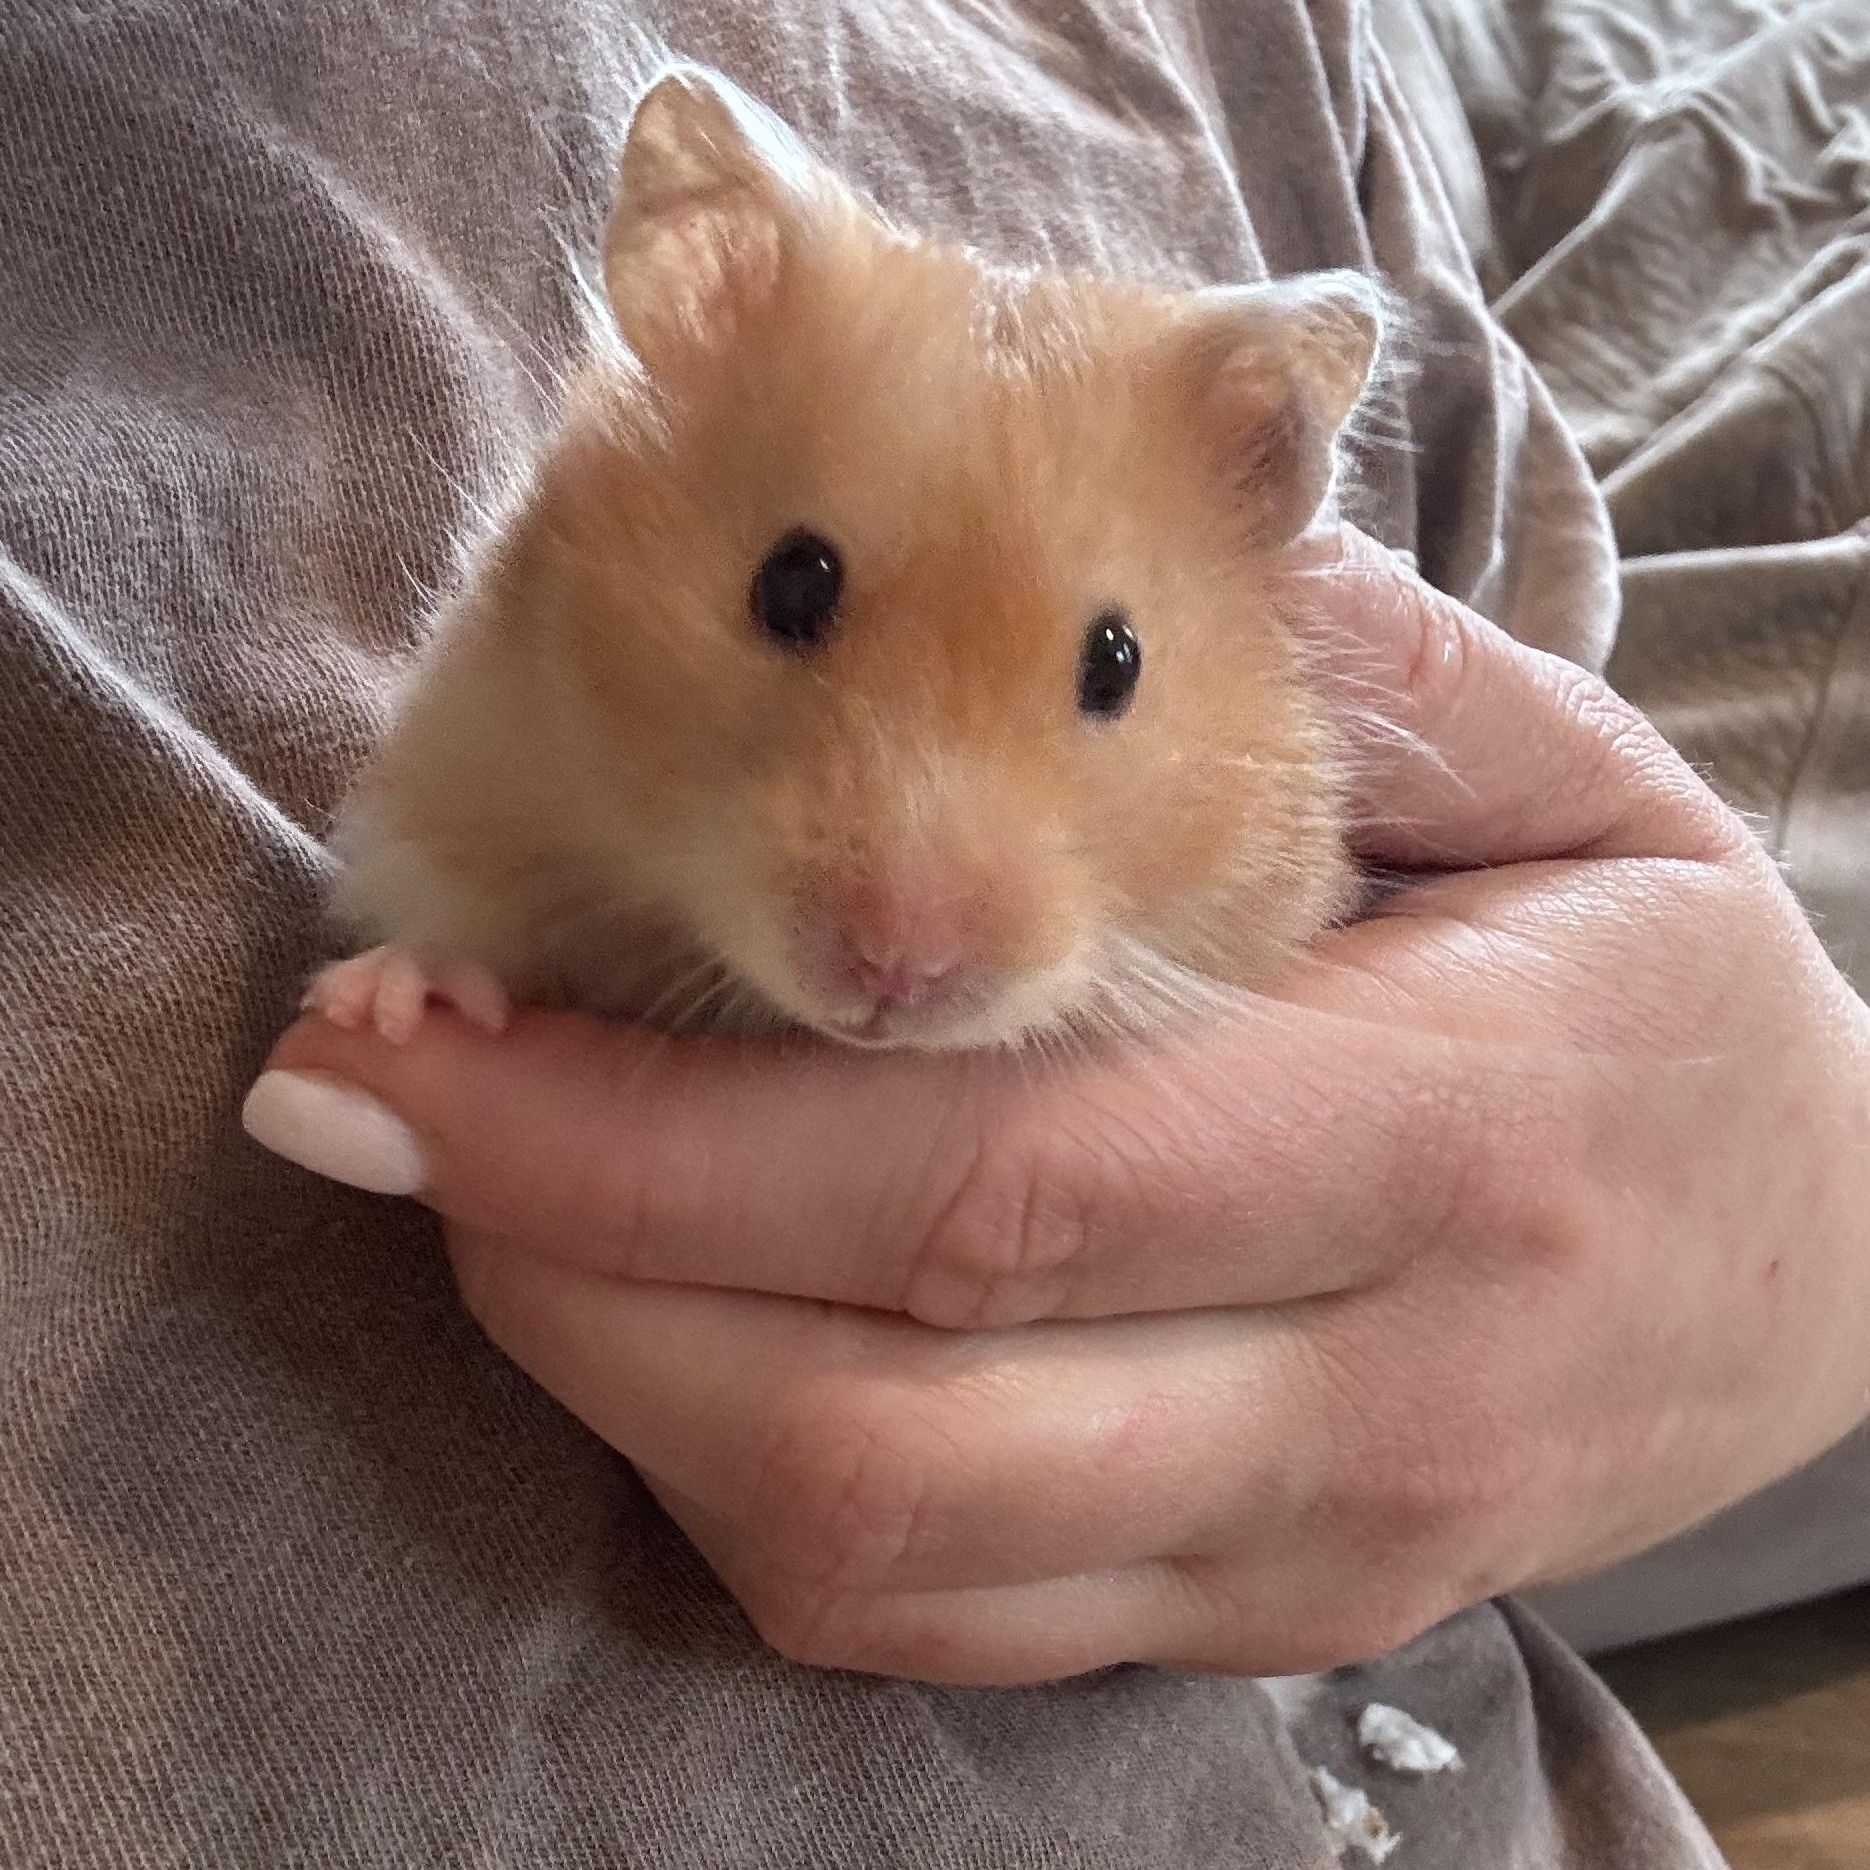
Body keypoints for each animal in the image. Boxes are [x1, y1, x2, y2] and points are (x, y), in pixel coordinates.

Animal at [310, 63, 1385, 1054]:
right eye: (790, 584)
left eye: (1117, 662)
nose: (897, 972)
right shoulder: (467, 745)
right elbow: (451, 905)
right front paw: (392, 1006)